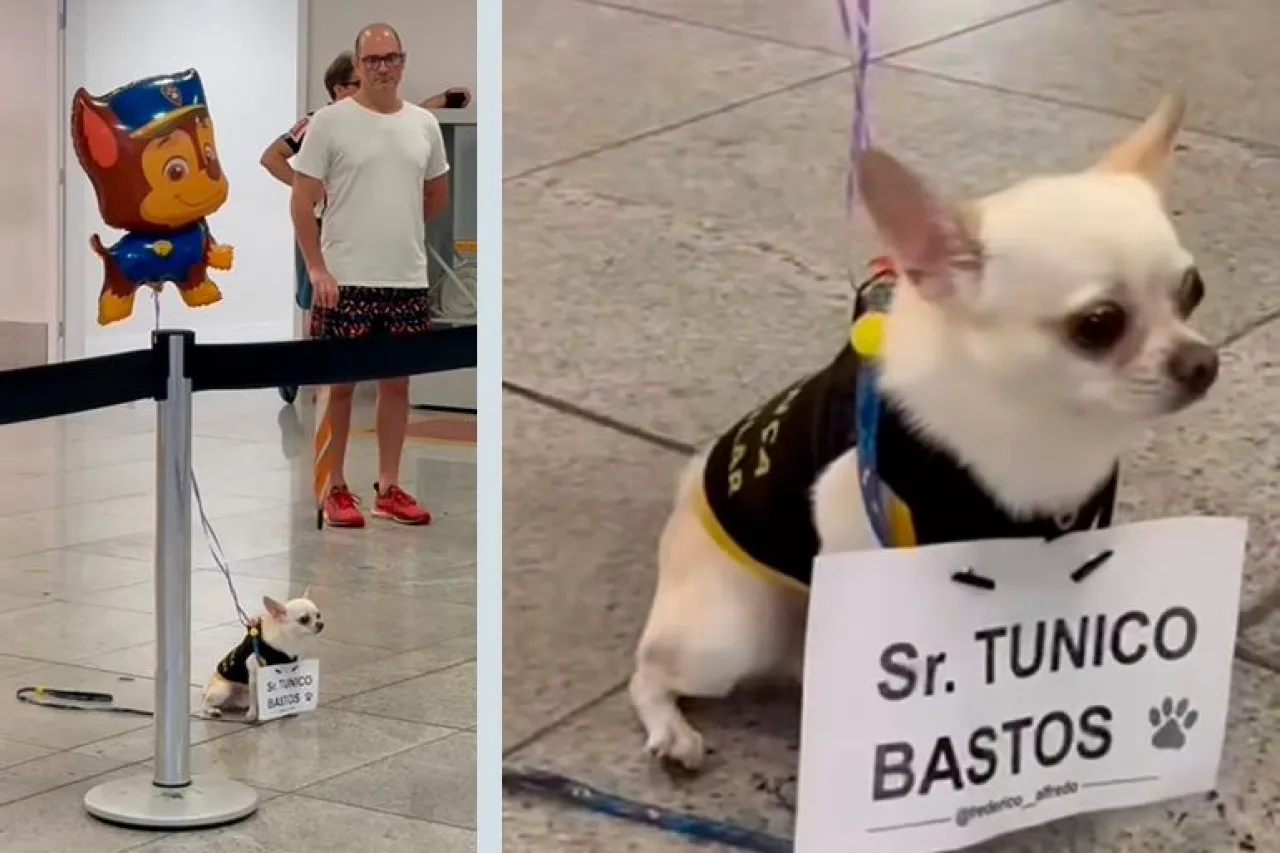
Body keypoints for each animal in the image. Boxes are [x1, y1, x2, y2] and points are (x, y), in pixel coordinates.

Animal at [629, 96, 1218, 768]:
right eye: (1097, 324)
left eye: (1193, 291)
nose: (1203, 362)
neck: (1040, 426)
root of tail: (686, 495)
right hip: (728, 635)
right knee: (649, 669)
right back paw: (671, 728)